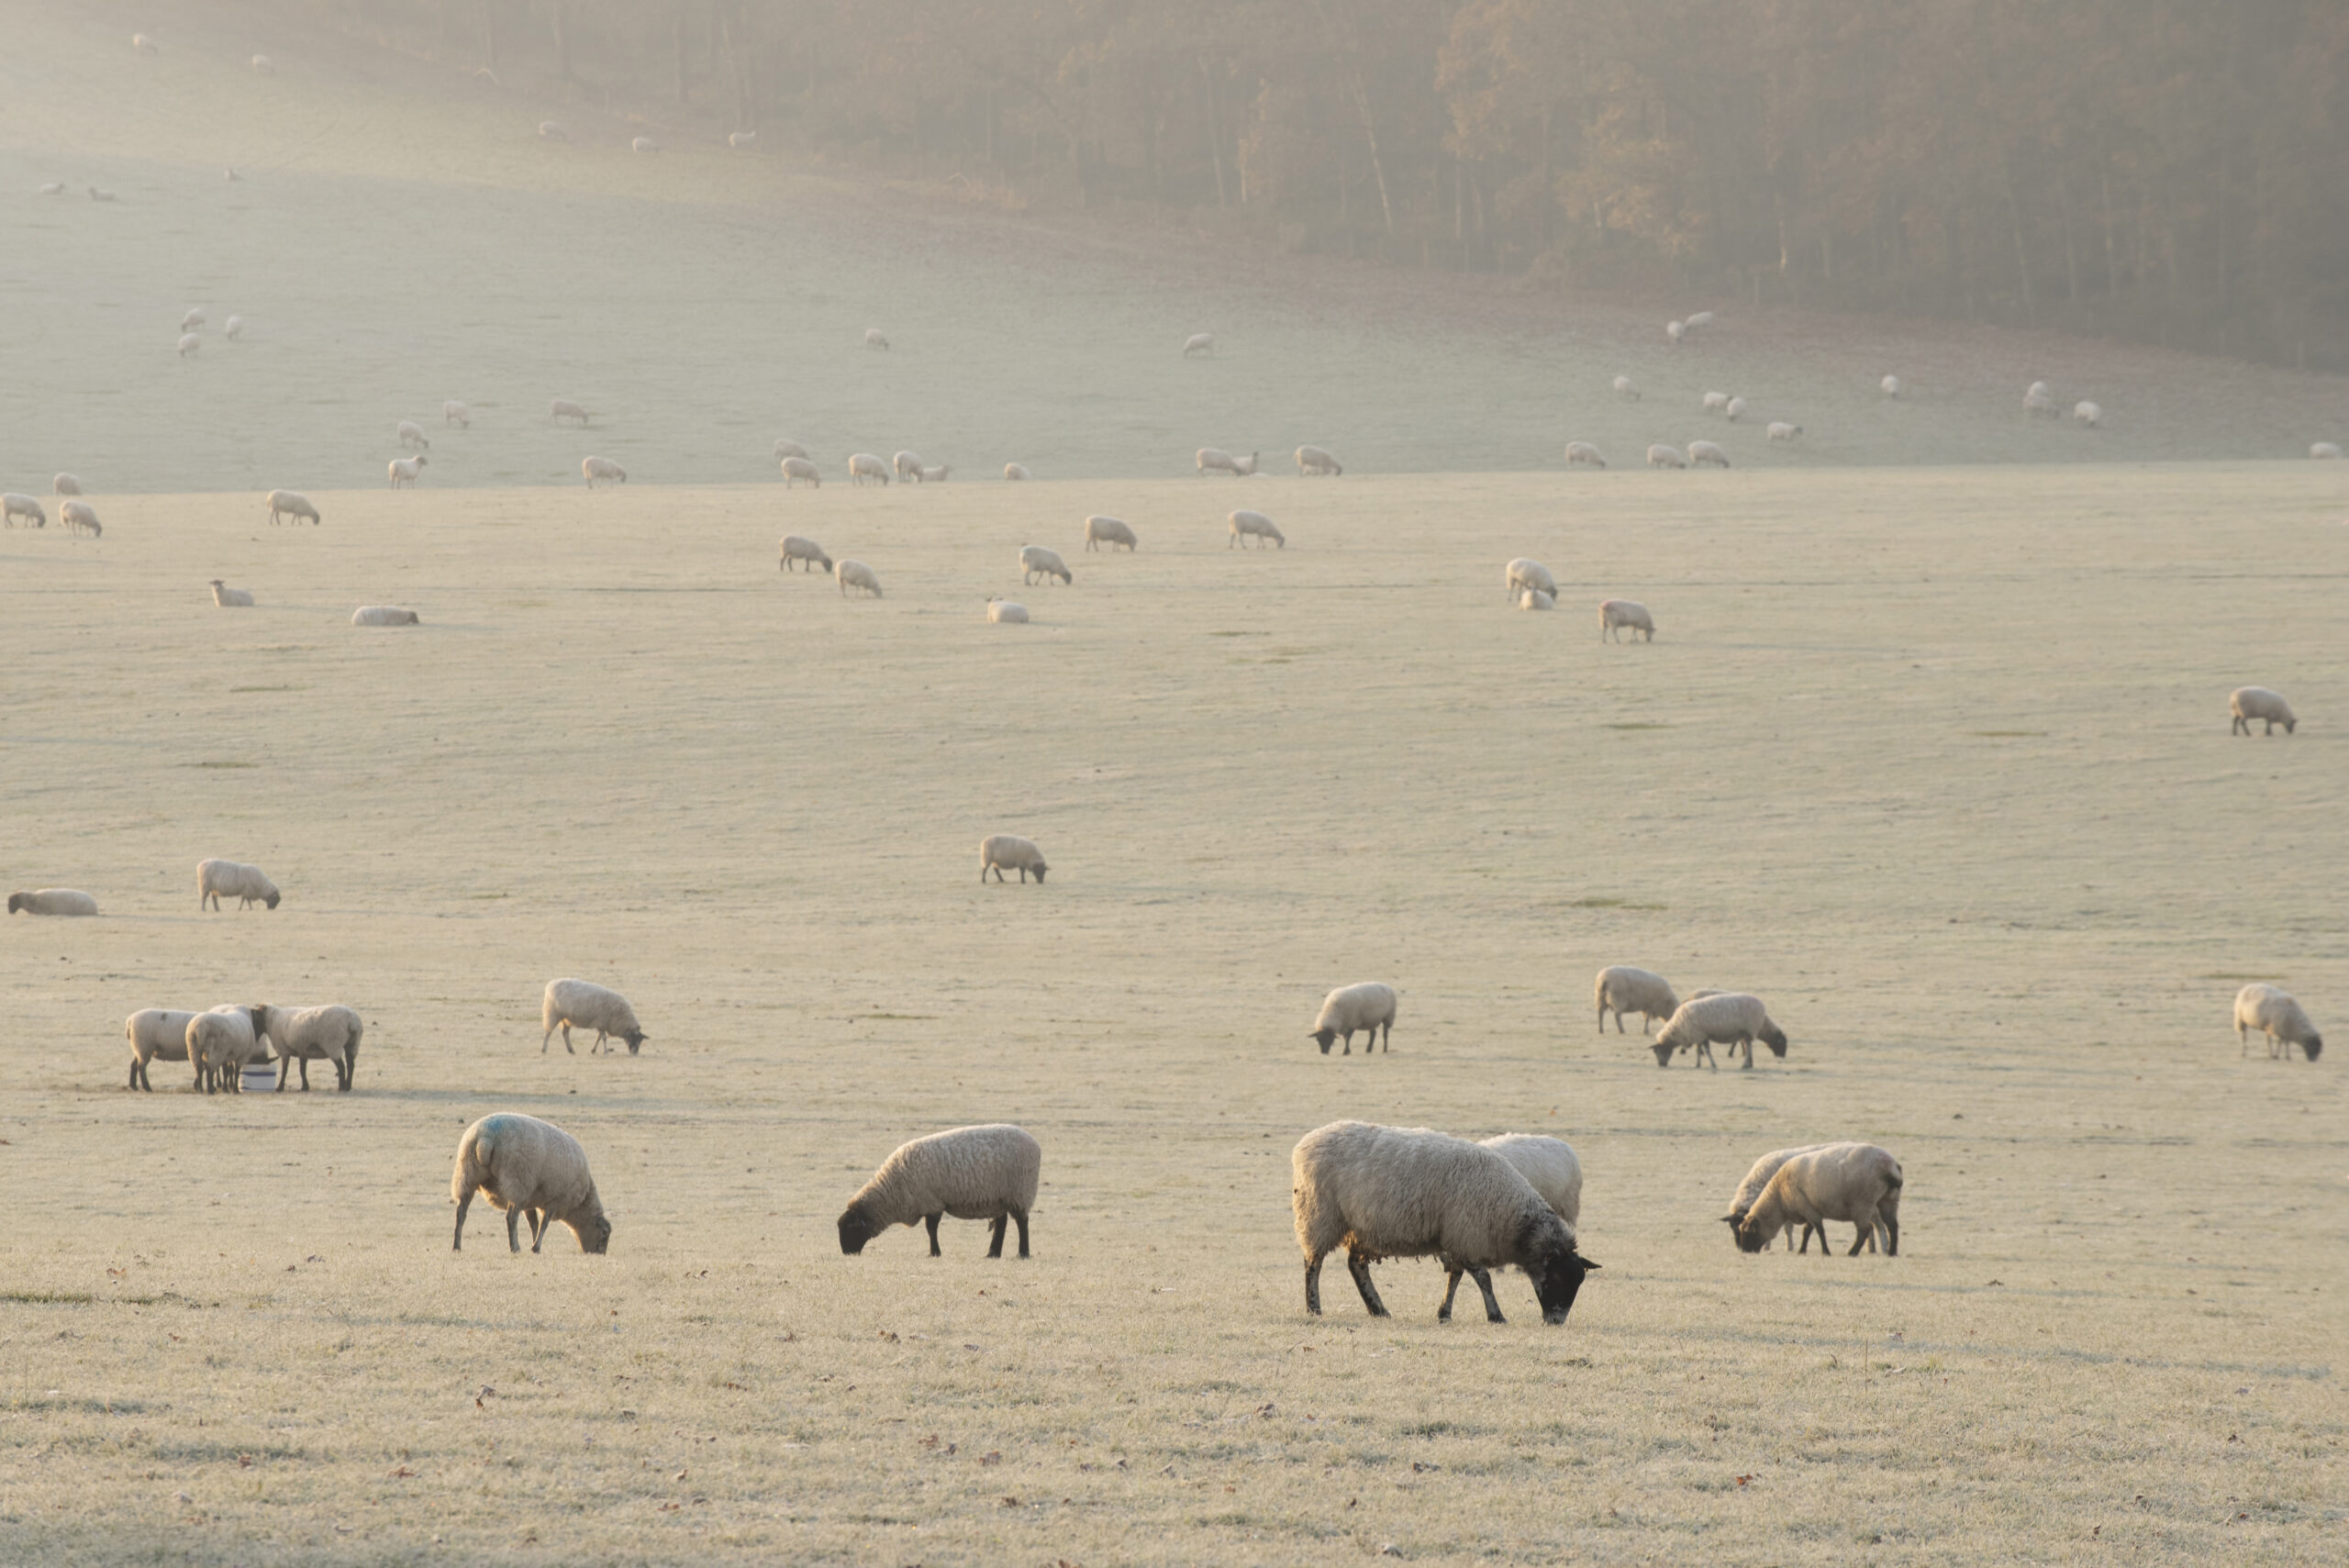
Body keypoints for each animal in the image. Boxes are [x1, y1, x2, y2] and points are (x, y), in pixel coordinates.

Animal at [448, 1107, 610, 1258]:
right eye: (604, 1232)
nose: (600, 1254)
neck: (581, 1202)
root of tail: (485, 1138)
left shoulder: (530, 1201)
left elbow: (534, 1224)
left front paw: (534, 1245)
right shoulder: (555, 1200)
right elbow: (544, 1224)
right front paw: (536, 1247)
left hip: (467, 1175)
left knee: (461, 1213)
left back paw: (457, 1247)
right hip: (518, 1182)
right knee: (511, 1217)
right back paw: (515, 1248)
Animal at [836, 1121, 1038, 1258]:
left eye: (850, 1228)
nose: (846, 1253)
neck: (893, 1189)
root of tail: (1034, 1143)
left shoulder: (931, 1203)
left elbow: (930, 1229)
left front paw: (934, 1252)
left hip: (1020, 1193)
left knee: (1022, 1222)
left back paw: (1023, 1253)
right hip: (999, 1197)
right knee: (1002, 1223)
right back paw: (992, 1254)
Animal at [1286, 1121, 1597, 1333]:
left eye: (1578, 1282)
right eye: (1558, 1278)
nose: (1556, 1322)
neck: (1510, 1215)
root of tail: (1306, 1143)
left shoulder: (1459, 1240)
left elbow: (1456, 1278)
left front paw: (1444, 1313)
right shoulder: (1467, 1236)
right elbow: (1483, 1278)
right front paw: (1496, 1315)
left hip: (1361, 1227)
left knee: (1356, 1266)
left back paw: (1378, 1309)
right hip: (1319, 1215)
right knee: (1313, 1264)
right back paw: (1314, 1307)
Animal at [1644, 999, 1785, 1070]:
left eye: (1658, 1052)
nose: (1661, 1065)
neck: (1679, 1028)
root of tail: (1761, 1005)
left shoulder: (1699, 1034)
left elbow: (1706, 1051)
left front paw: (1711, 1064)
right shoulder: (1700, 1035)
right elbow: (1700, 1050)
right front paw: (1698, 1064)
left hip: (1749, 1030)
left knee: (1748, 1047)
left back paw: (1745, 1064)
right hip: (1746, 1032)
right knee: (1748, 1046)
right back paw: (1749, 1064)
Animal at [1738, 1131, 1898, 1258]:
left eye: (1748, 1232)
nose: (1744, 1251)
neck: (1779, 1197)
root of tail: (1889, 1166)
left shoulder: (1808, 1208)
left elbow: (1819, 1231)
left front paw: (1825, 1252)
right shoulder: (1810, 1209)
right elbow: (1807, 1231)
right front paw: (1802, 1251)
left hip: (1863, 1203)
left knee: (1865, 1229)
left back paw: (1854, 1252)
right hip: (1889, 1199)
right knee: (1892, 1225)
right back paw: (1892, 1252)